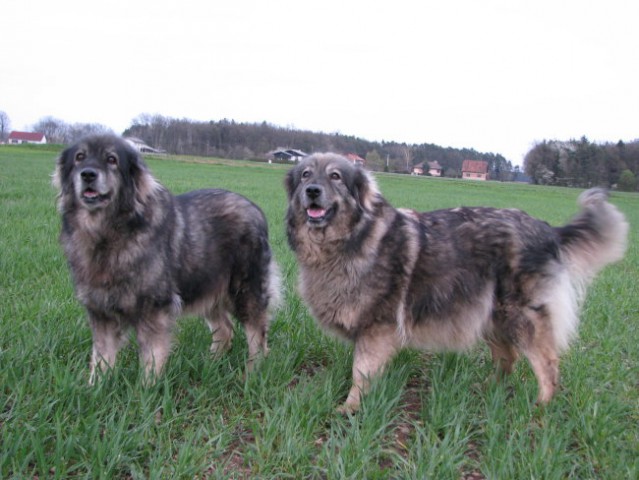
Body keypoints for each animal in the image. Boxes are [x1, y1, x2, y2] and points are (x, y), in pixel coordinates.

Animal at [56, 134, 282, 382]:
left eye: (111, 159)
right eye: (79, 157)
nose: (87, 174)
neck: (107, 234)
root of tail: (255, 210)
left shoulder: (154, 310)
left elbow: (151, 359)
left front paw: (146, 388)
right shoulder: (101, 313)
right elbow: (101, 359)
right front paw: (96, 386)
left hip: (245, 292)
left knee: (258, 337)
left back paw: (251, 374)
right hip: (207, 288)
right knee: (224, 330)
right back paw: (209, 365)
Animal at [286, 154, 632, 412]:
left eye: (335, 177)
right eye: (305, 175)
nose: (312, 190)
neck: (352, 238)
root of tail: (548, 229)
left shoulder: (377, 328)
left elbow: (361, 373)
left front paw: (349, 409)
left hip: (521, 316)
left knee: (547, 365)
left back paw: (538, 412)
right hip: (492, 315)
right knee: (508, 358)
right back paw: (489, 391)